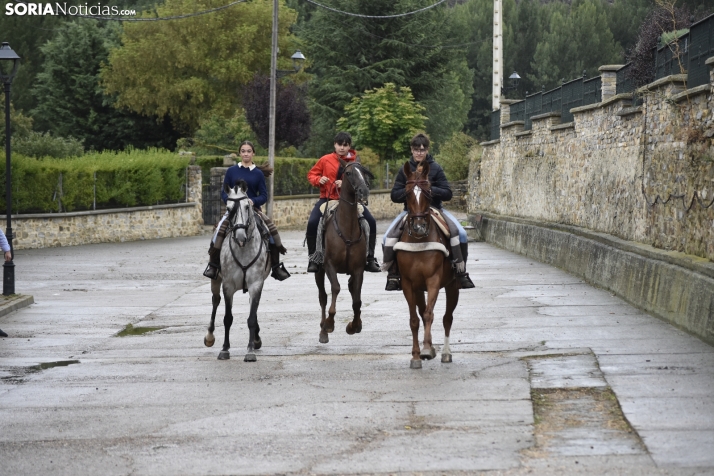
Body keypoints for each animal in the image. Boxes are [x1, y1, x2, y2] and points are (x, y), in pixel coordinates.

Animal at [207, 181, 274, 360]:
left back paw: (256, 339)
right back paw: (209, 336)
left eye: (246, 206)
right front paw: (224, 349)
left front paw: (250, 349)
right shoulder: (228, 285)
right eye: (228, 208)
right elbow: (227, 318)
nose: (240, 236)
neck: (243, 248)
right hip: (216, 280)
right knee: (215, 301)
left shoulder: (256, 284)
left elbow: (251, 317)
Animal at [316, 158, 372, 344]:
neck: (347, 228)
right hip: (318, 271)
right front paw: (329, 323)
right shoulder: (329, 266)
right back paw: (323, 331)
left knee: (352, 291)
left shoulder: (358, 269)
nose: (364, 190)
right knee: (323, 297)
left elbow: (357, 300)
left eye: (364, 171)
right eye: (348, 173)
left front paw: (354, 325)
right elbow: (335, 288)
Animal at [394, 160, 456, 368]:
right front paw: (416, 356)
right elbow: (415, 319)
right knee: (421, 313)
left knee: (447, 318)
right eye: (407, 194)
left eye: (429, 192)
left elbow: (430, 314)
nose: (419, 227)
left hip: (453, 286)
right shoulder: (408, 283)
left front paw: (428, 349)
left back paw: (445, 352)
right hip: (418, 288)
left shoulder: (433, 280)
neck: (419, 241)